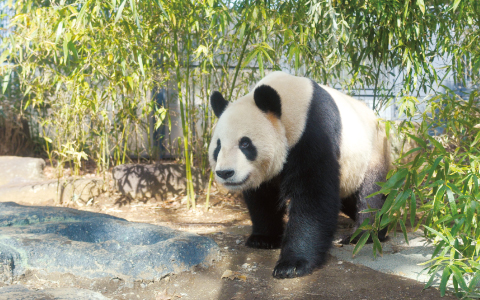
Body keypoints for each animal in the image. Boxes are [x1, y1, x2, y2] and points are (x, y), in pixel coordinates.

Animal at [209, 71, 390, 278]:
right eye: (218, 146)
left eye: (245, 143)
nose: (225, 172)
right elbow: (262, 197)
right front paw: (263, 238)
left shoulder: (313, 132)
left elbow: (313, 195)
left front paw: (292, 264)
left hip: (372, 152)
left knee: (371, 195)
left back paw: (365, 234)